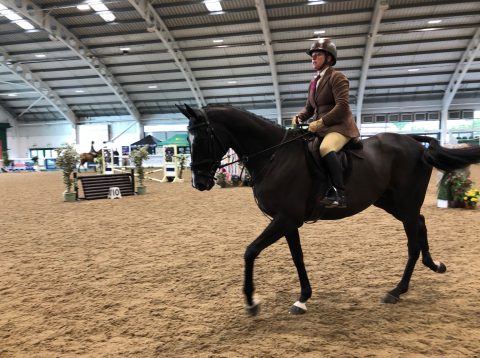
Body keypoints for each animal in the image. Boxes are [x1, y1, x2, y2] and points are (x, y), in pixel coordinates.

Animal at [177, 103, 480, 316]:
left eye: (201, 138)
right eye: (187, 141)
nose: (199, 182)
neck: (274, 156)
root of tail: (415, 141)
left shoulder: (284, 219)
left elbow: (250, 251)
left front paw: (252, 302)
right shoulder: (287, 221)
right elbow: (297, 258)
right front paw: (302, 299)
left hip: (404, 203)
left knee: (413, 240)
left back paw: (397, 290)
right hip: (391, 202)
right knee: (421, 222)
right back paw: (434, 265)